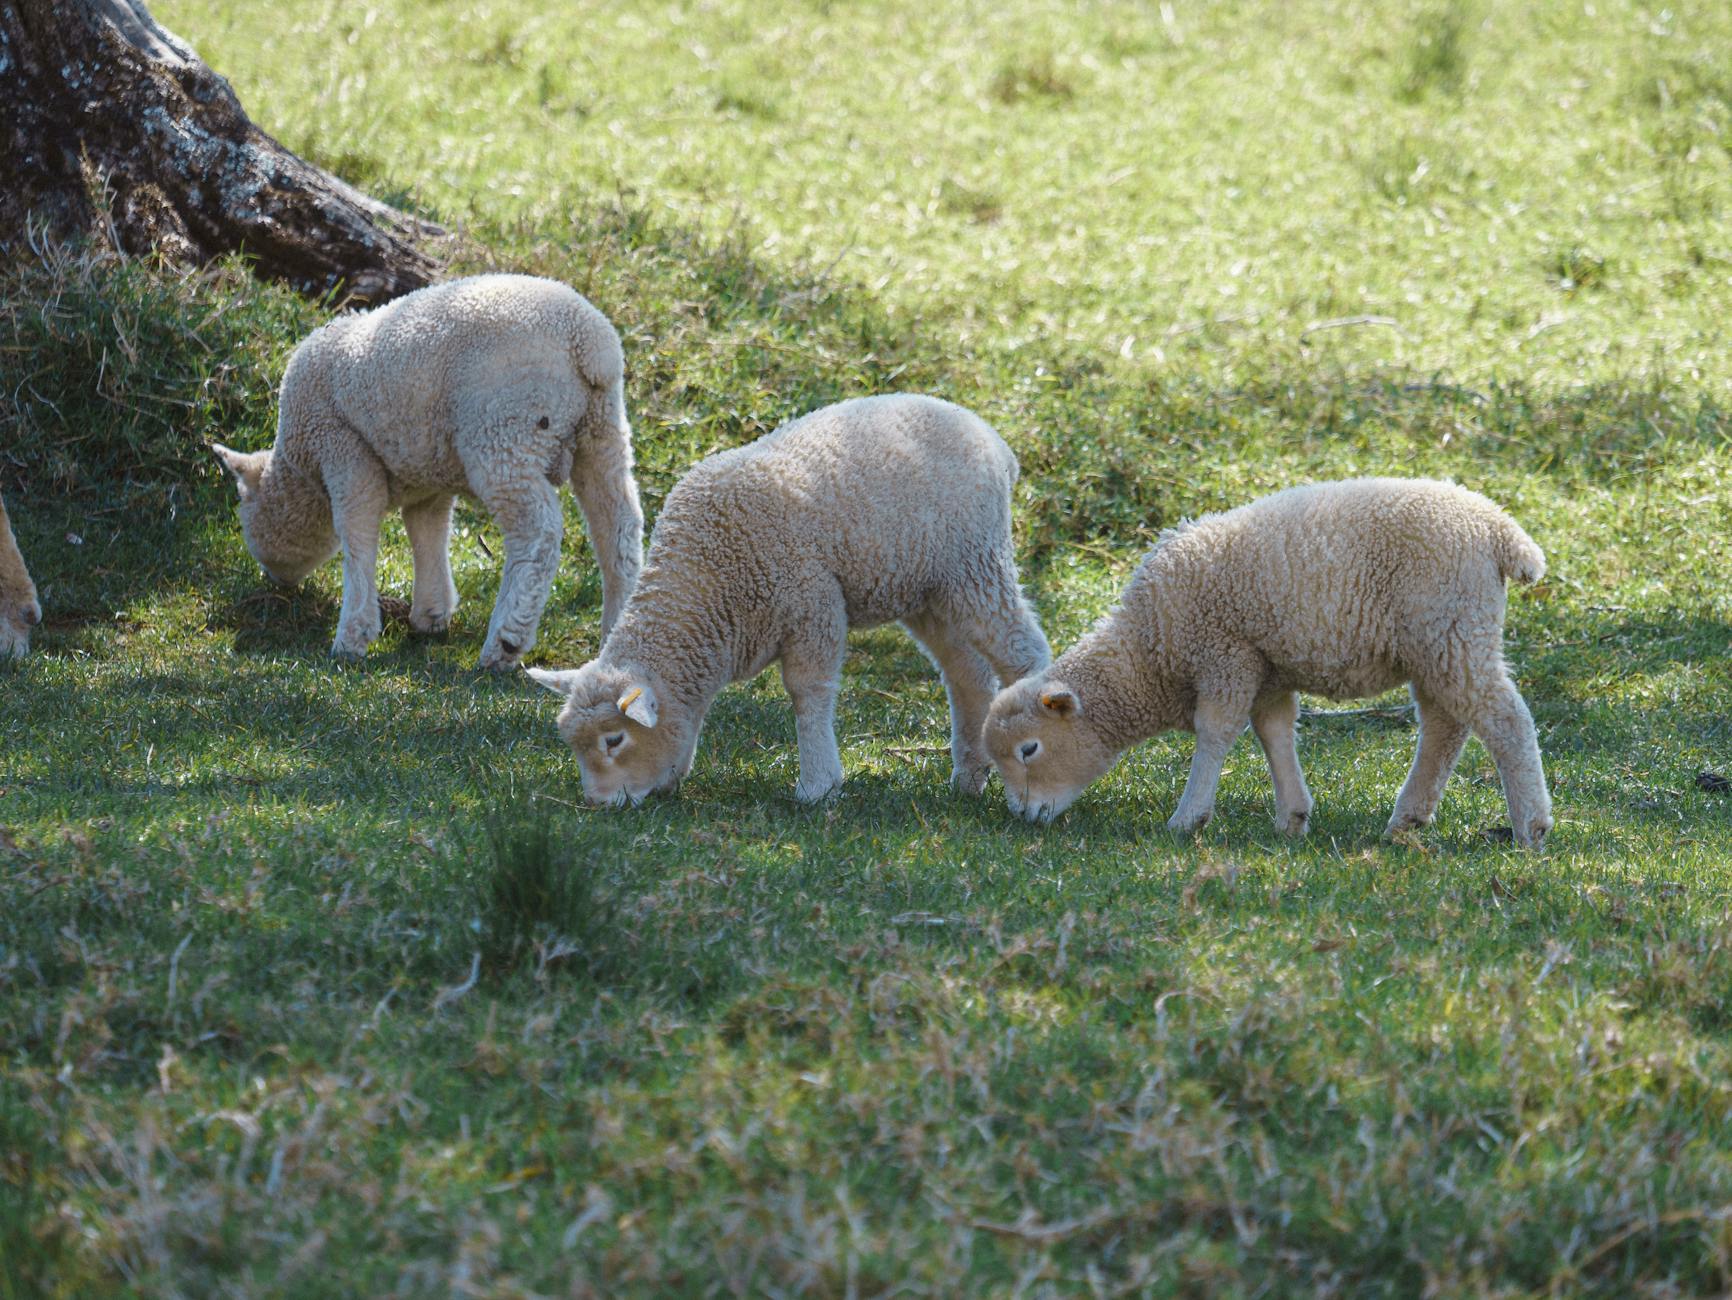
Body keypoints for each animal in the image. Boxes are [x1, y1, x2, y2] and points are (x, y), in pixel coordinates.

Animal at [214, 274, 643, 669]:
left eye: (244, 516)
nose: (274, 581)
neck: (299, 469)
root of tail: (589, 342)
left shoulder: (344, 449)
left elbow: (357, 533)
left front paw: (352, 635)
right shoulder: (427, 477)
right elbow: (427, 531)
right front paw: (430, 615)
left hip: (504, 430)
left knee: (538, 536)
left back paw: (504, 644)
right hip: (601, 429)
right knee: (618, 529)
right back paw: (615, 637)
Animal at [527, 393, 1053, 805]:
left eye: (614, 740)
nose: (598, 804)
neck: (708, 582)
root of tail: (992, 438)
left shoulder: (811, 604)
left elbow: (808, 692)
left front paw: (819, 785)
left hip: (976, 563)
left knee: (1022, 652)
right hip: (929, 590)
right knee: (968, 677)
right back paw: (968, 778)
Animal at [983, 477, 1555, 846]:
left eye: (1030, 749)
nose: (1022, 816)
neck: (1151, 651)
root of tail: (1498, 528)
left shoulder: (1225, 654)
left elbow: (1214, 732)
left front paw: (1189, 818)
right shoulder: (1267, 669)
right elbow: (1275, 734)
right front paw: (1293, 818)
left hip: (1449, 627)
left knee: (1504, 720)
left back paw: (1531, 827)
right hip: (1438, 640)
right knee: (1445, 726)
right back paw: (1406, 822)